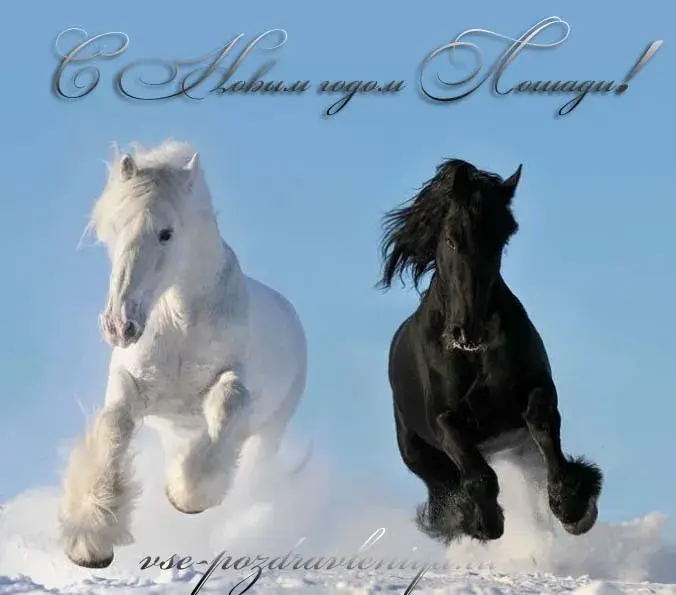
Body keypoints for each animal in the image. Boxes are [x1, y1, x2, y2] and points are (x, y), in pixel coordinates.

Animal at [58, 140, 309, 569]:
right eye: (114, 229)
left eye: (166, 233)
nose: (119, 325)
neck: (179, 325)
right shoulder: (131, 386)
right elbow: (114, 426)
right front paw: (91, 540)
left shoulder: (230, 380)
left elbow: (228, 403)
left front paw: (187, 497)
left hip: (270, 431)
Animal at [377, 158, 603, 545]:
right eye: (451, 238)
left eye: (502, 239)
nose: (469, 330)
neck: (474, 355)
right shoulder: (444, 420)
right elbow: (476, 472)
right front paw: (484, 521)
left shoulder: (536, 389)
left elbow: (544, 426)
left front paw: (573, 508)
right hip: (418, 453)